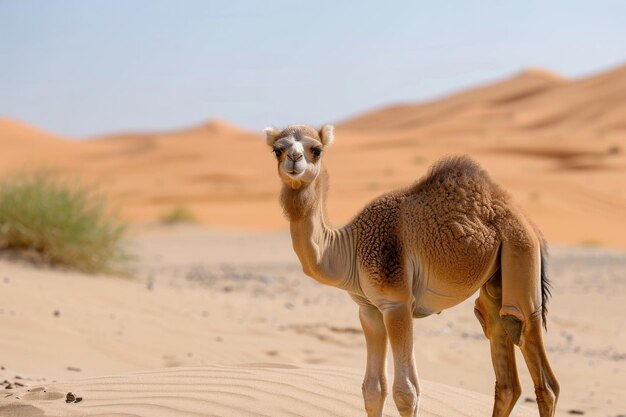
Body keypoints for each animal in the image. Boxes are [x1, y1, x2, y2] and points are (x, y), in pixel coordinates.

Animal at [266, 124, 560, 416]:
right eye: (277, 150)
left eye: (316, 149)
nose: (294, 159)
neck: (351, 246)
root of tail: (529, 222)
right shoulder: (368, 309)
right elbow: (373, 390)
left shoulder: (396, 302)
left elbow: (406, 392)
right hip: (496, 277)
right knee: (501, 355)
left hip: (520, 248)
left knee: (532, 352)